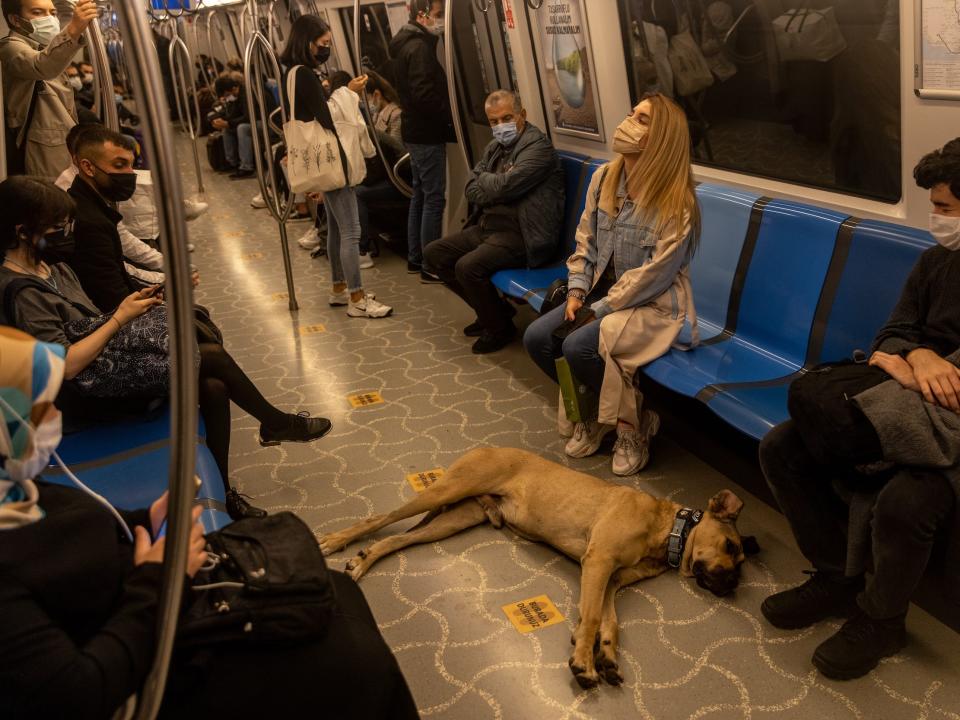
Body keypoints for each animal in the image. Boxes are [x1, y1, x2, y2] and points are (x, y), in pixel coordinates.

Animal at [318, 448, 752, 688]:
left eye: (741, 561)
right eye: (730, 546)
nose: (732, 583)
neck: (667, 532)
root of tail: (490, 445)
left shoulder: (612, 580)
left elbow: (609, 622)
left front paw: (606, 655)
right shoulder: (597, 562)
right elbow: (592, 618)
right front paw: (584, 661)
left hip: (457, 518)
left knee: (399, 538)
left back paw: (363, 559)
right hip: (447, 490)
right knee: (382, 517)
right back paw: (337, 540)